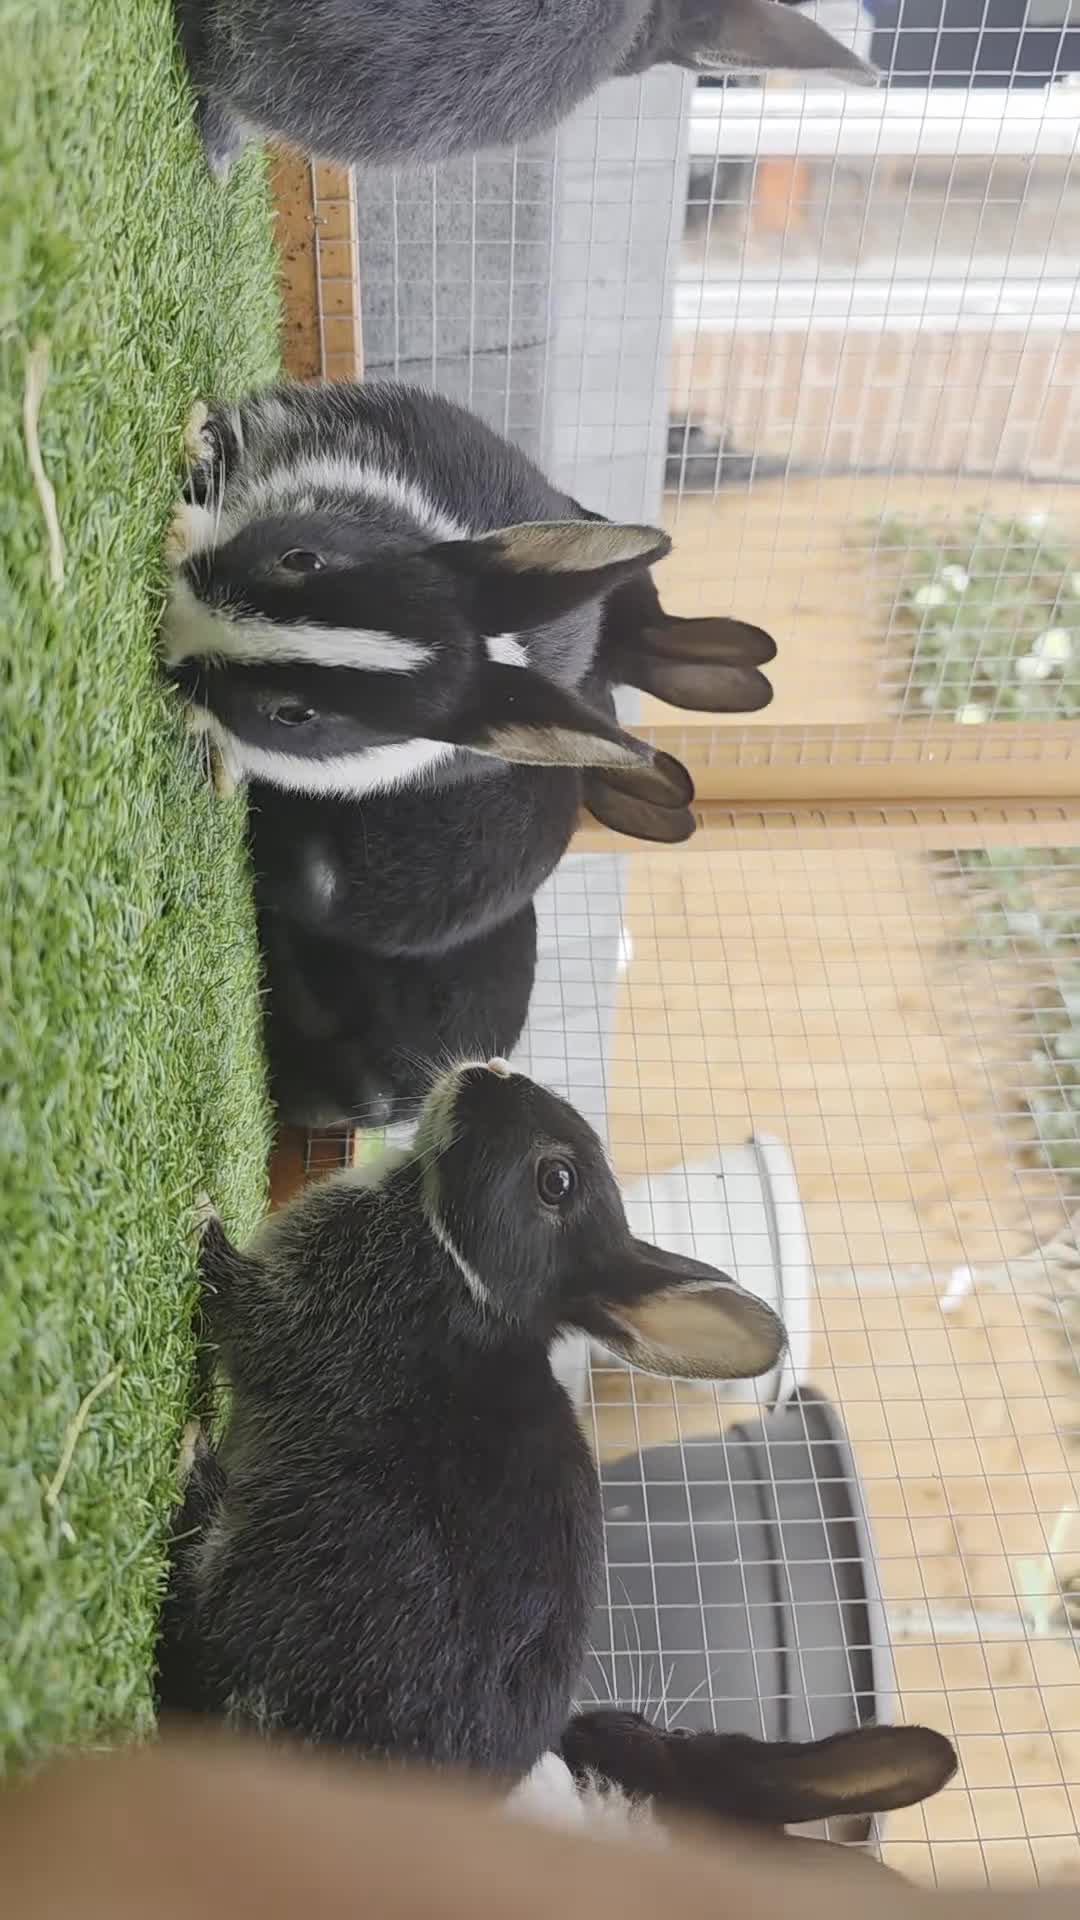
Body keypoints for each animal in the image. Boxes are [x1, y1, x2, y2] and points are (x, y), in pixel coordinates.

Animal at [157, 1061, 789, 1779]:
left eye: (556, 1181)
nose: (488, 1070)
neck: (462, 1271)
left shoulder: (304, 1315)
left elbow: (239, 1305)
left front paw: (201, 1217)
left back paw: (192, 1463)